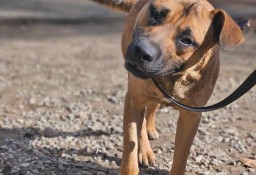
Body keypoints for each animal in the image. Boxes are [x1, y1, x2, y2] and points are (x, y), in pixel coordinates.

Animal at [91, 0, 245, 174]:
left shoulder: (191, 116)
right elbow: (130, 150)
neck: (174, 76)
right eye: (155, 13)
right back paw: (145, 149)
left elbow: (181, 157)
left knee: (152, 107)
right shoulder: (134, 100)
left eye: (187, 40)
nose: (141, 51)